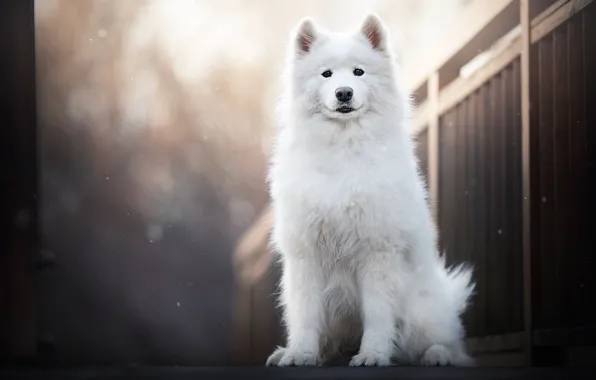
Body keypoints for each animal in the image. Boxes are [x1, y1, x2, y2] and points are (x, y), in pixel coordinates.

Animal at [266, 14, 474, 368]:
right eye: (326, 74)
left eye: (359, 72)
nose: (344, 93)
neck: (343, 147)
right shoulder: (307, 254)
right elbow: (306, 315)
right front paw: (300, 353)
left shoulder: (378, 251)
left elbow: (377, 315)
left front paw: (373, 355)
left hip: (420, 311)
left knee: (446, 343)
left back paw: (437, 355)